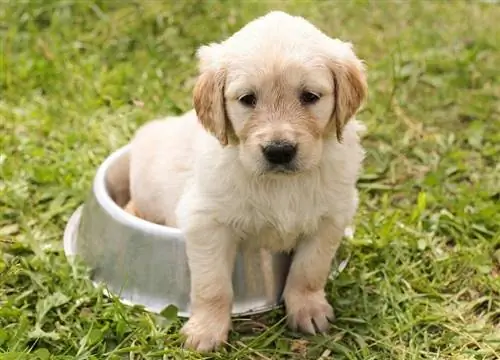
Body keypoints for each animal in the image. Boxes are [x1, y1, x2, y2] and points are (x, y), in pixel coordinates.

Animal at [125, 10, 368, 352]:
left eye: (310, 96)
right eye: (247, 99)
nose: (279, 151)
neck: (282, 184)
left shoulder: (331, 217)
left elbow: (309, 270)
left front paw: (308, 309)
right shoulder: (206, 222)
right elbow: (213, 285)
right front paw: (206, 330)